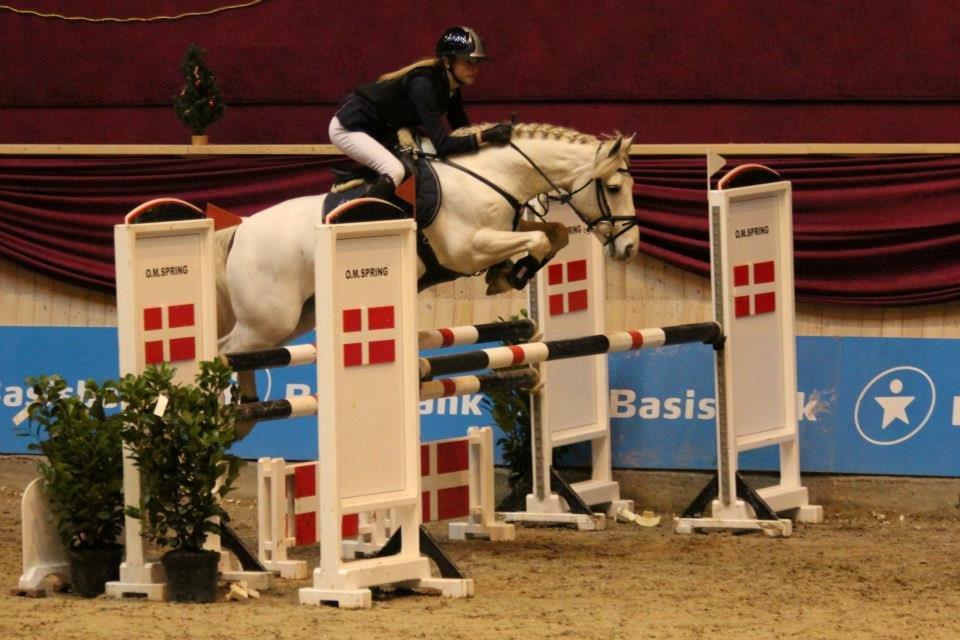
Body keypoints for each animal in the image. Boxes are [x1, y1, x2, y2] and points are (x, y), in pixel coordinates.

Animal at [214, 123, 639, 426]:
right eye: (615, 187)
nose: (630, 248)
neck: (494, 176)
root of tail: (240, 230)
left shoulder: (504, 231)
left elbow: (556, 233)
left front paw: (505, 274)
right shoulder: (467, 248)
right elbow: (536, 238)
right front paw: (510, 275)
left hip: (298, 317)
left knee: (245, 354)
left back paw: (244, 413)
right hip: (271, 318)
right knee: (225, 351)